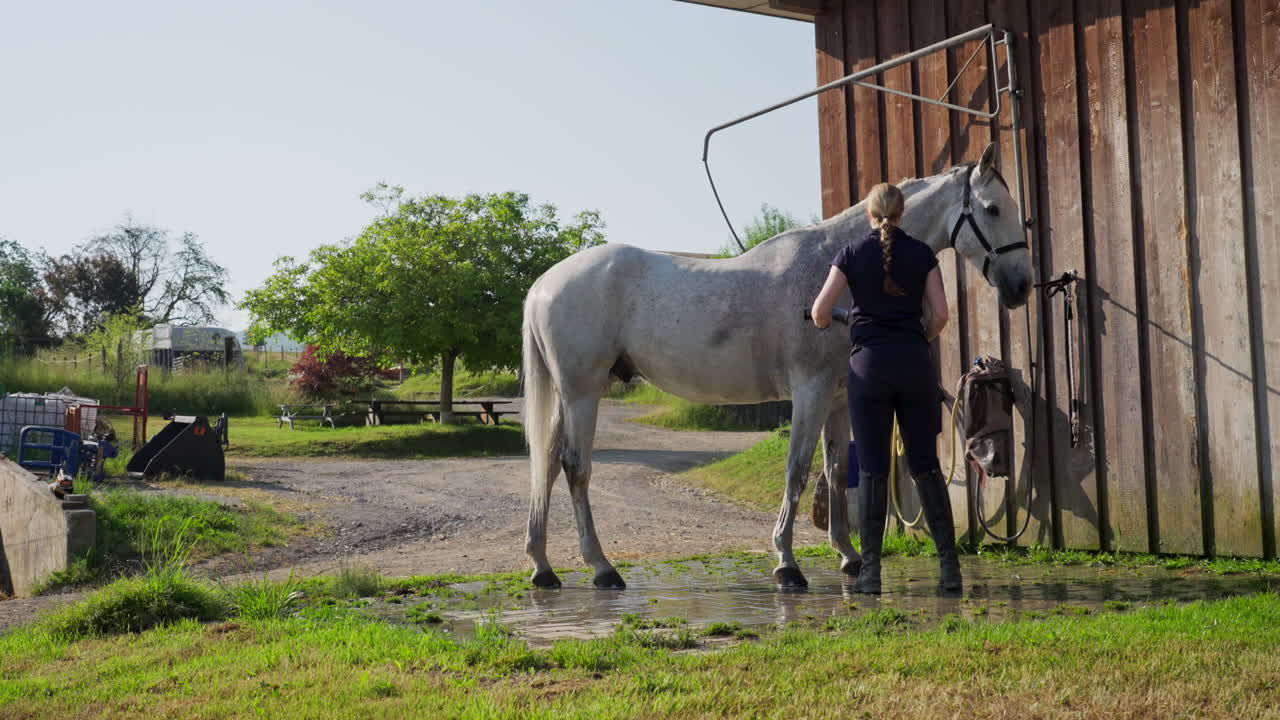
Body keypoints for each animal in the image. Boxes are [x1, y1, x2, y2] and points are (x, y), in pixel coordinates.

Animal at [522, 143, 1032, 589]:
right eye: (992, 209)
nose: (1021, 285)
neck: (831, 269)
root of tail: (544, 285)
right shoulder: (810, 390)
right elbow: (798, 469)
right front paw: (787, 564)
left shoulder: (838, 398)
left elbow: (835, 471)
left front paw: (848, 557)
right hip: (583, 393)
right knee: (575, 467)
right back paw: (602, 568)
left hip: (570, 396)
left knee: (545, 462)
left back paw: (543, 568)